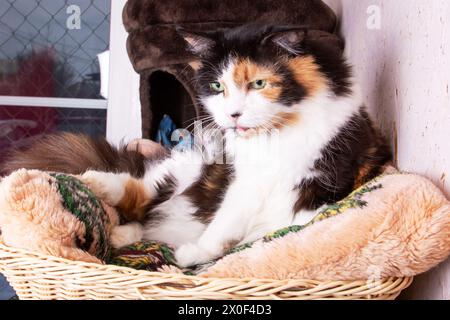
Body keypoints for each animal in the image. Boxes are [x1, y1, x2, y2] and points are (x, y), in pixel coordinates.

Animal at [2, 23, 390, 266]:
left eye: (259, 83)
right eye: (218, 86)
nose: (233, 115)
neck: (276, 136)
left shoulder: (311, 189)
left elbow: (261, 229)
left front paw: (197, 254)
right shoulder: (243, 181)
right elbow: (226, 220)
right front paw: (199, 251)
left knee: (144, 215)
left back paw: (123, 233)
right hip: (186, 167)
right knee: (139, 189)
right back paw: (96, 184)